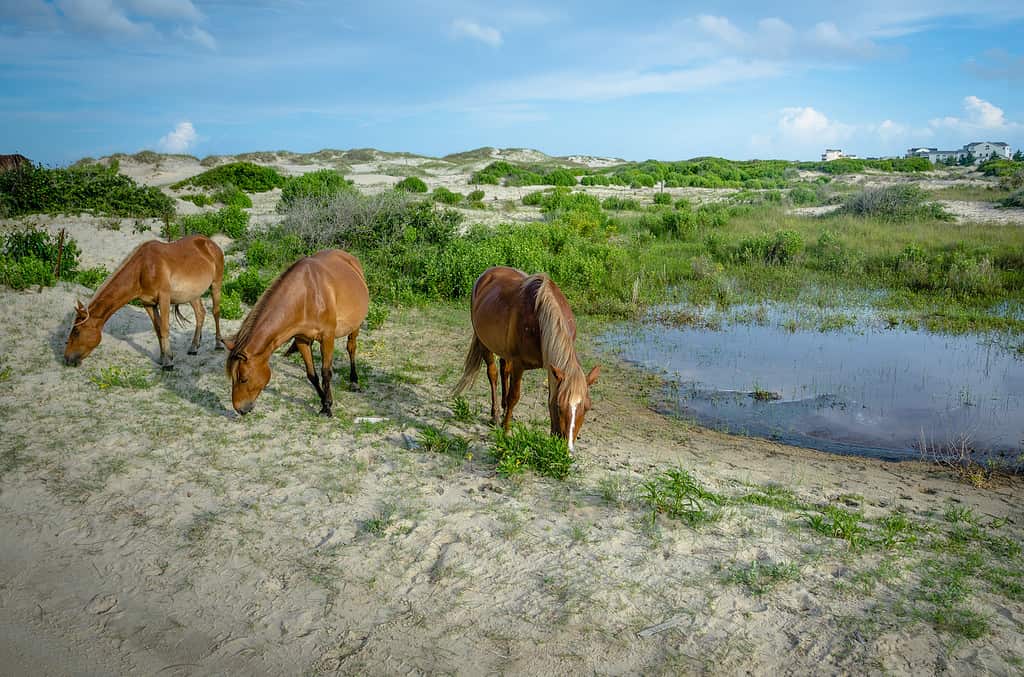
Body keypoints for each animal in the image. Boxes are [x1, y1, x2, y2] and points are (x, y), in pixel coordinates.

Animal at [64, 235, 224, 369]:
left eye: (77, 331)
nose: (67, 358)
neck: (143, 268)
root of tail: (209, 243)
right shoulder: (148, 304)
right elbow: (158, 329)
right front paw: (163, 357)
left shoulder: (164, 299)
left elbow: (165, 329)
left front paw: (168, 363)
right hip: (193, 295)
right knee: (200, 314)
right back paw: (194, 347)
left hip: (216, 285)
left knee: (215, 312)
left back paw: (218, 344)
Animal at [222, 249, 369, 417]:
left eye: (244, 379)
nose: (240, 409)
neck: (306, 296)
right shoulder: (301, 339)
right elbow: (312, 374)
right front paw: (323, 403)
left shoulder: (327, 338)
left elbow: (326, 373)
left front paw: (328, 406)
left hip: (355, 326)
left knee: (351, 348)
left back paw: (354, 382)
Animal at [453, 266, 600, 452]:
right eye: (560, 407)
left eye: (587, 407)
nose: (566, 449)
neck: (540, 322)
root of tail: (487, 273)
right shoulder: (519, 365)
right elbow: (514, 396)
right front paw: (506, 431)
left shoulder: (552, 369)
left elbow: (547, 397)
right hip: (484, 342)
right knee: (493, 374)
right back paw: (496, 416)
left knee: (504, 370)